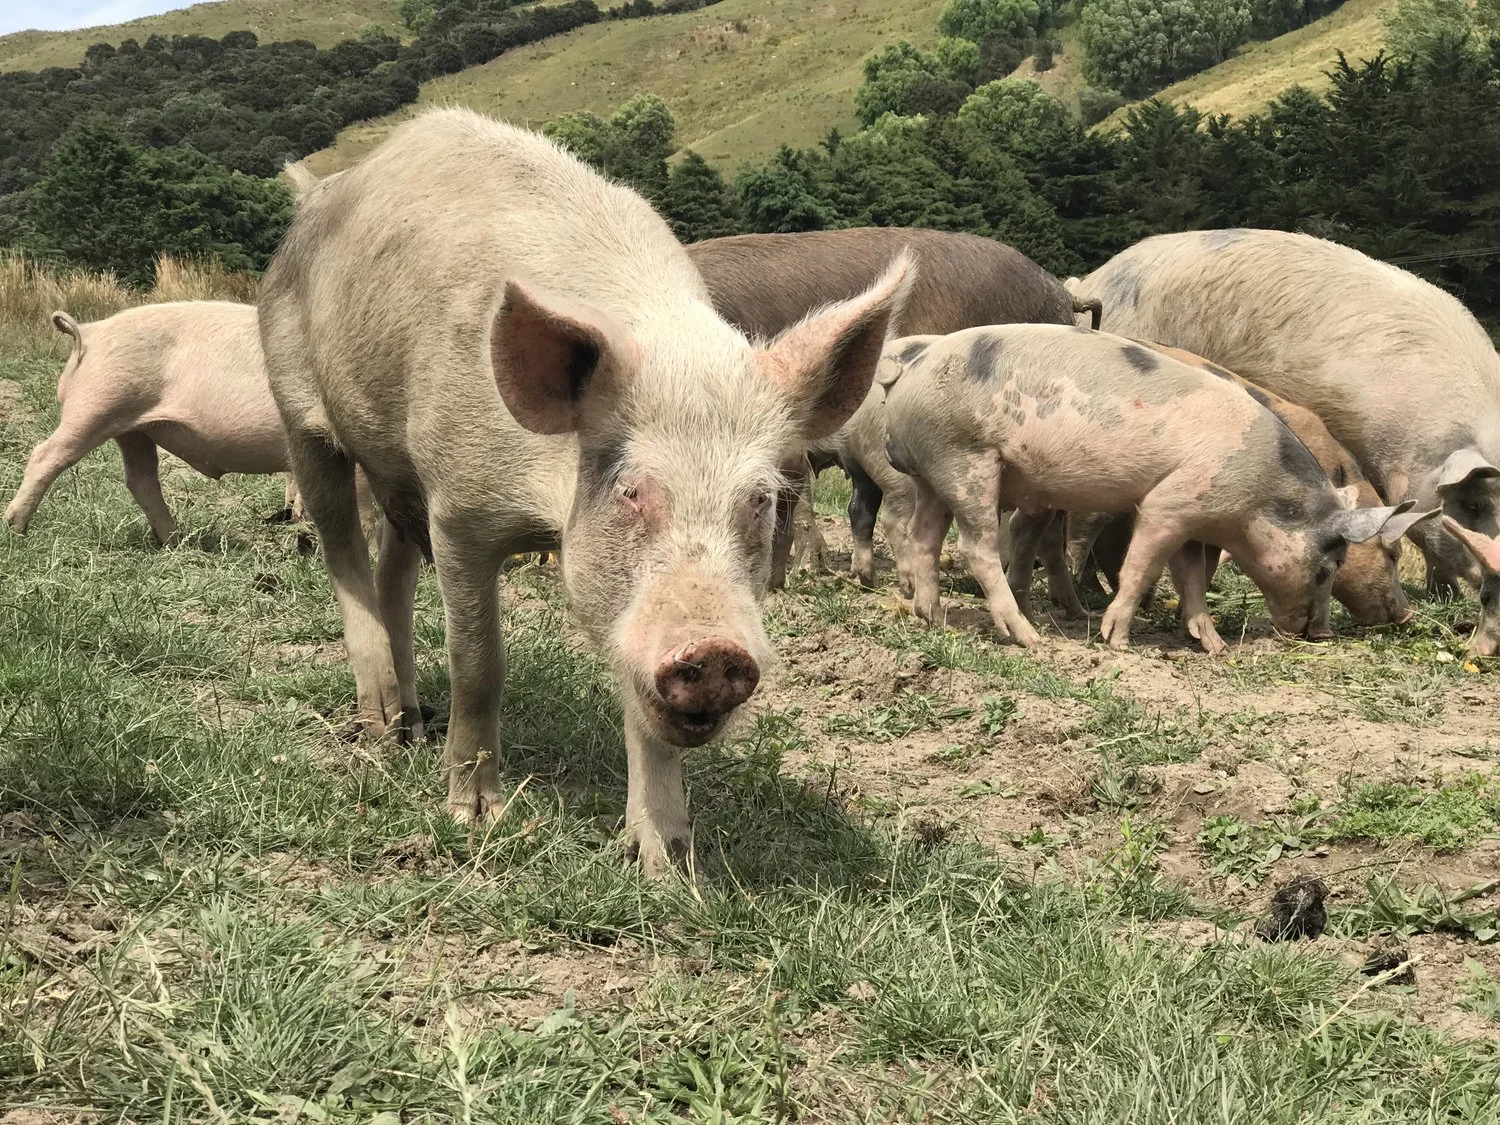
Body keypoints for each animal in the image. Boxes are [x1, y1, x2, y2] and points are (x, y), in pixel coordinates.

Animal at [3, 301, 375, 544]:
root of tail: (91, 331)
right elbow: (362, 507)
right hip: (96, 406)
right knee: (45, 455)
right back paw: (16, 529)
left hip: (134, 428)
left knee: (141, 478)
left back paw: (175, 540)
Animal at [257, 108, 911, 877]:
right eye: (630, 490)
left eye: (758, 499)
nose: (718, 652)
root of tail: (316, 194)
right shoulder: (459, 507)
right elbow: (479, 661)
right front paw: (477, 817)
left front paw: (668, 866)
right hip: (299, 408)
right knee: (344, 554)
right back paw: (380, 724)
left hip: (398, 474)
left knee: (393, 569)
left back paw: (413, 725)